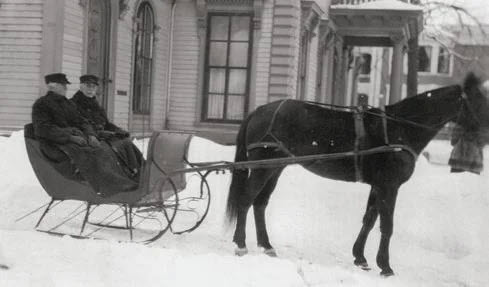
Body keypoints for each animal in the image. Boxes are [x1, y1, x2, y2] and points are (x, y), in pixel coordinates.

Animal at [226, 73, 488, 278]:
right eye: (479, 99)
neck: (399, 128)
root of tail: (259, 110)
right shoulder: (389, 186)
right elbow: (387, 225)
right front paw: (386, 266)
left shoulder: (378, 186)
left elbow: (369, 220)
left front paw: (360, 258)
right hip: (263, 168)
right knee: (246, 199)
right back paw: (240, 244)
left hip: (275, 168)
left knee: (260, 203)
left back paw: (266, 245)